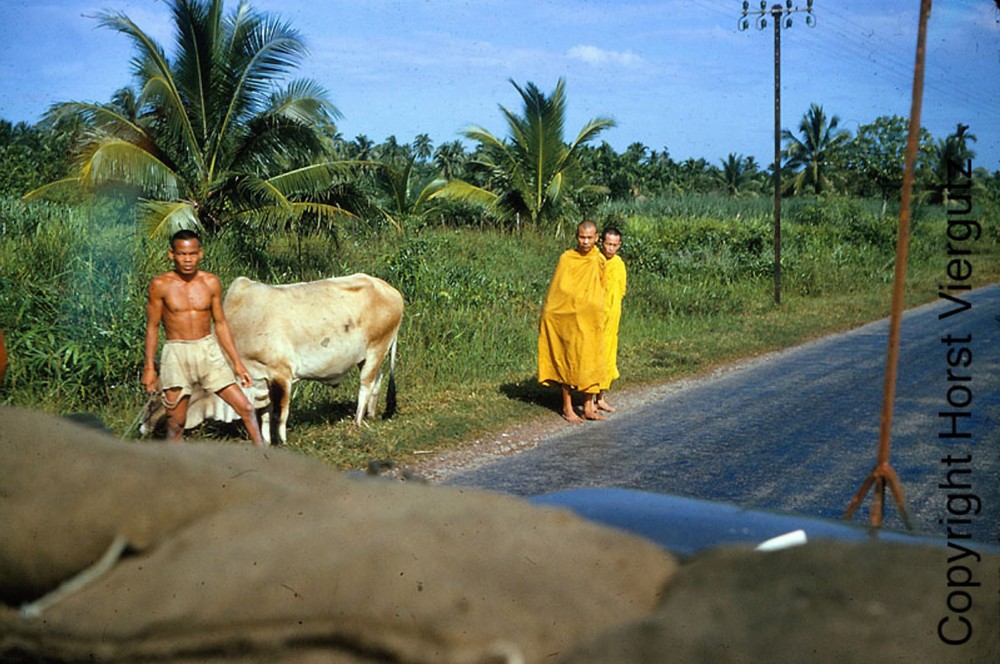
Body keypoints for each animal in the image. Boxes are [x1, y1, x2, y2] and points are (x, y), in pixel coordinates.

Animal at [142, 274, 406, 446]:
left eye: (160, 393)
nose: (142, 426)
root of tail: (391, 290)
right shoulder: (261, 380)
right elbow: (265, 414)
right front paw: (266, 440)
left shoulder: (282, 375)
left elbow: (280, 414)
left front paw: (281, 441)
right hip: (369, 355)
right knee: (377, 380)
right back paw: (371, 414)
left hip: (376, 348)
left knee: (366, 384)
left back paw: (358, 422)